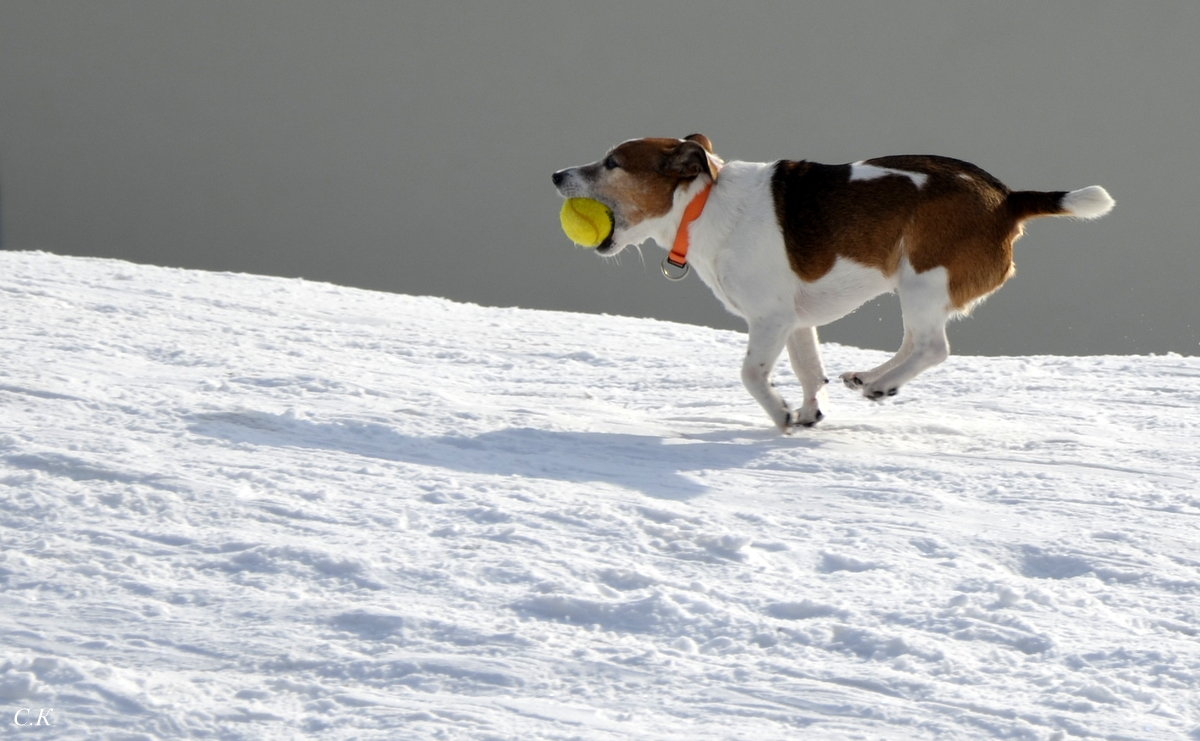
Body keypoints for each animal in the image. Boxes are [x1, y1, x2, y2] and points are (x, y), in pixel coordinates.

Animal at [552, 135, 1113, 429]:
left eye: (612, 162)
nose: (556, 175)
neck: (701, 203)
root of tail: (1006, 199)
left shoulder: (770, 319)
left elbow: (752, 375)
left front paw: (781, 414)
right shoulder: (797, 323)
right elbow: (808, 372)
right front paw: (807, 412)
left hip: (923, 278)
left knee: (933, 348)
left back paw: (880, 382)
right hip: (915, 287)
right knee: (914, 344)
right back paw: (873, 379)